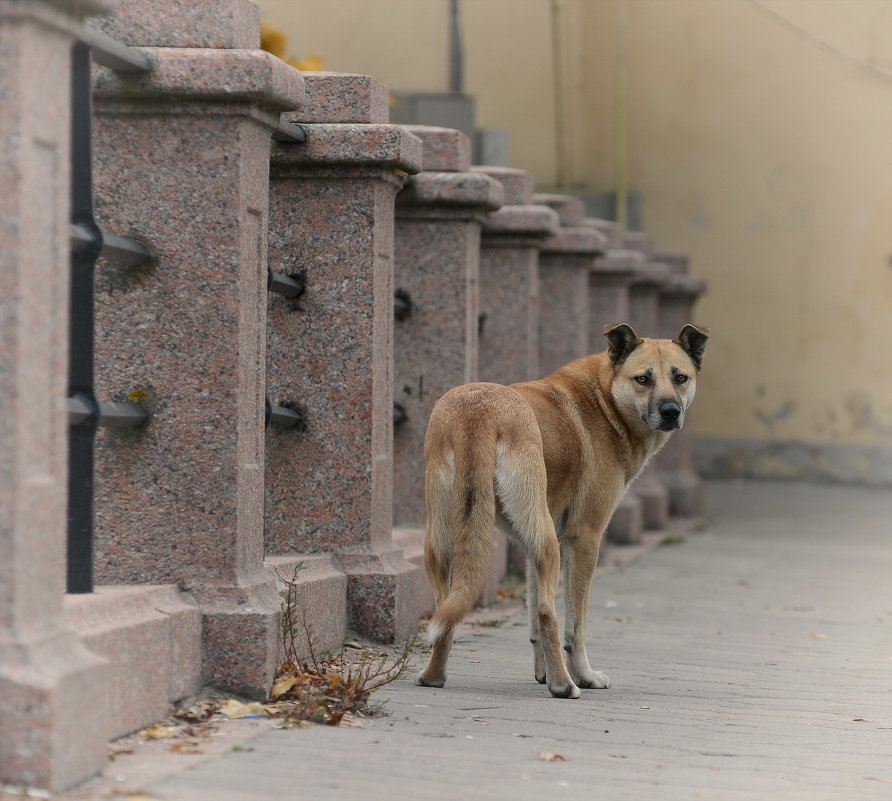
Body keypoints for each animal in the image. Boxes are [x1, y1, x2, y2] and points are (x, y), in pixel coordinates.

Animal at [414, 322, 708, 696]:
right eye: (643, 379)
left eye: (680, 377)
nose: (671, 411)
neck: (605, 398)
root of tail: (479, 410)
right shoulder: (584, 539)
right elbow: (574, 625)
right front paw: (583, 675)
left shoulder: (528, 546)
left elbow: (532, 625)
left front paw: (541, 672)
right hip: (547, 544)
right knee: (547, 612)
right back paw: (565, 685)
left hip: (448, 539)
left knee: (446, 608)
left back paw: (434, 675)